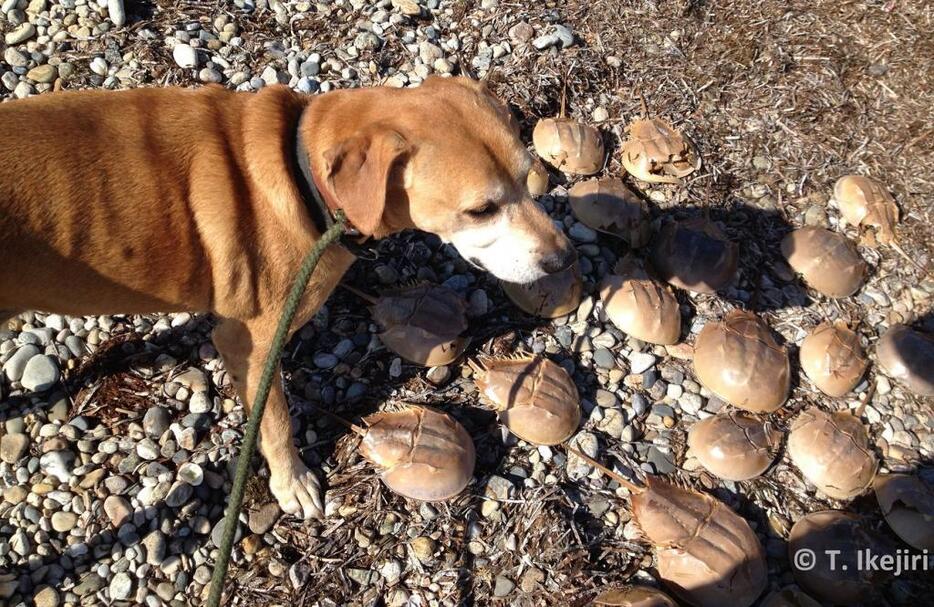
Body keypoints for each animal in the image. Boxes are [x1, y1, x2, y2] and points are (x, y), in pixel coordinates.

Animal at [0, 78, 576, 520]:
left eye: (528, 175)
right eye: (480, 210)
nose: (563, 259)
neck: (303, 178)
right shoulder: (251, 345)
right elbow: (274, 422)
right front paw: (292, 482)